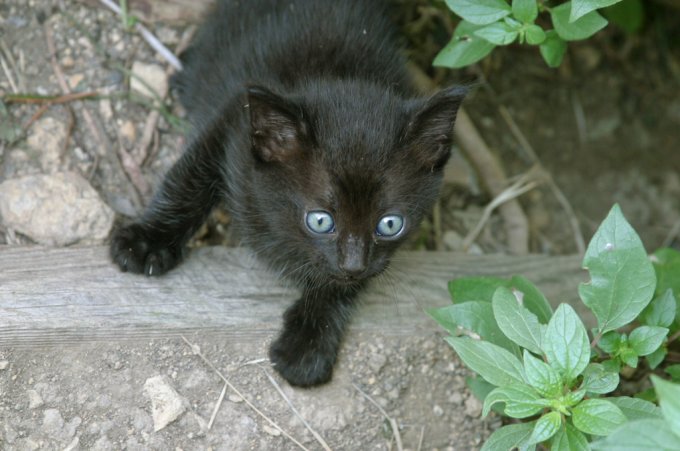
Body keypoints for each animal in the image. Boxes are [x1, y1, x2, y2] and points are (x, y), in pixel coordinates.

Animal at [110, 0, 468, 388]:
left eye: (389, 224)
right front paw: (147, 240)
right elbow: (188, 178)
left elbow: (340, 285)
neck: (334, 73)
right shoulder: (231, 119)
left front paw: (308, 344)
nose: (353, 264)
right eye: (320, 220)